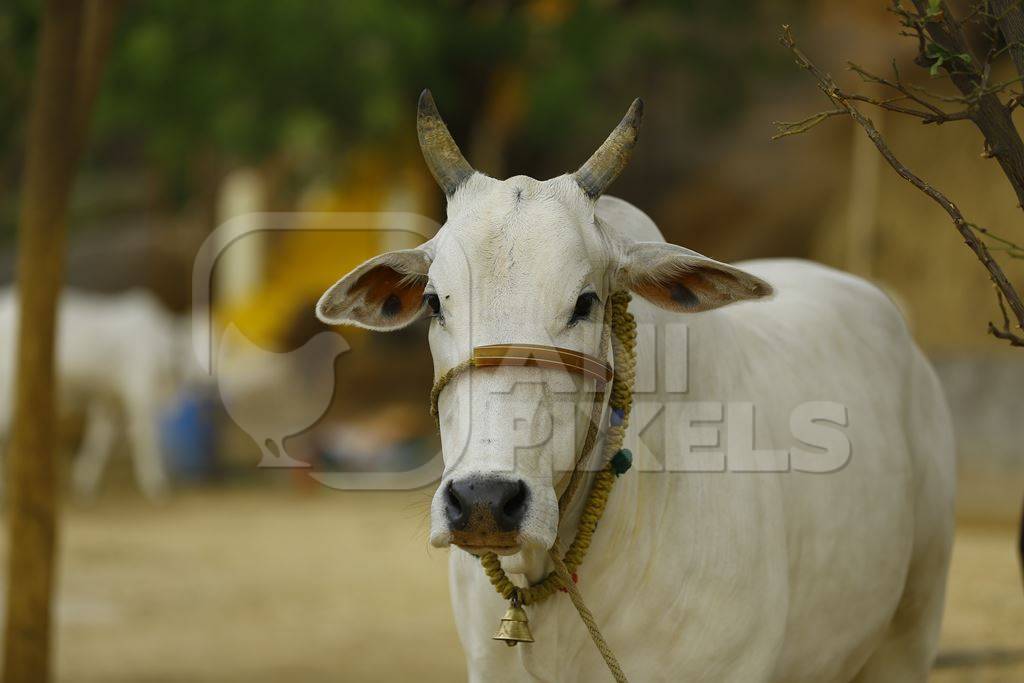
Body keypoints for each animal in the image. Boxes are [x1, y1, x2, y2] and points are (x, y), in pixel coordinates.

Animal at [0, 288, 182, 501]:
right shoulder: (138, 393)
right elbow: (145, 438)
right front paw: (155, 484)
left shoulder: (108, 398)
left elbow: (100, 438)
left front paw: (84, 482)